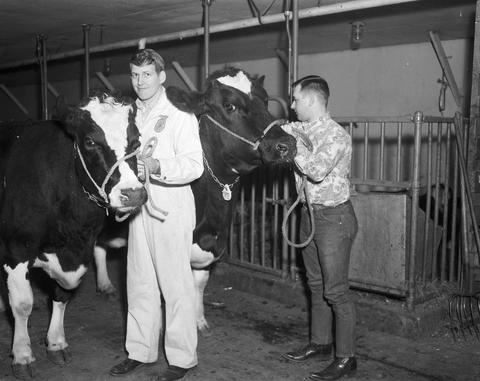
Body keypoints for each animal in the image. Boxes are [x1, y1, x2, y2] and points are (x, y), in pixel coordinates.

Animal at [0, 94, 146, 378]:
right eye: (90, 141)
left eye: (136, 141)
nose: (133, 194)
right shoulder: (16, 248)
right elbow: (22, 304)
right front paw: (22, 356)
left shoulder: (79, 250)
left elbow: (64, 291)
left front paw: (56, 343)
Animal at [93, 67, 296, 332]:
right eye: (229, 105)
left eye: (265, 100)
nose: (286, 144)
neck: (212, 214)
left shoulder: (212, 244)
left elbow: (198, 283)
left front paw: (198, 319)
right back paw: (104, 283)